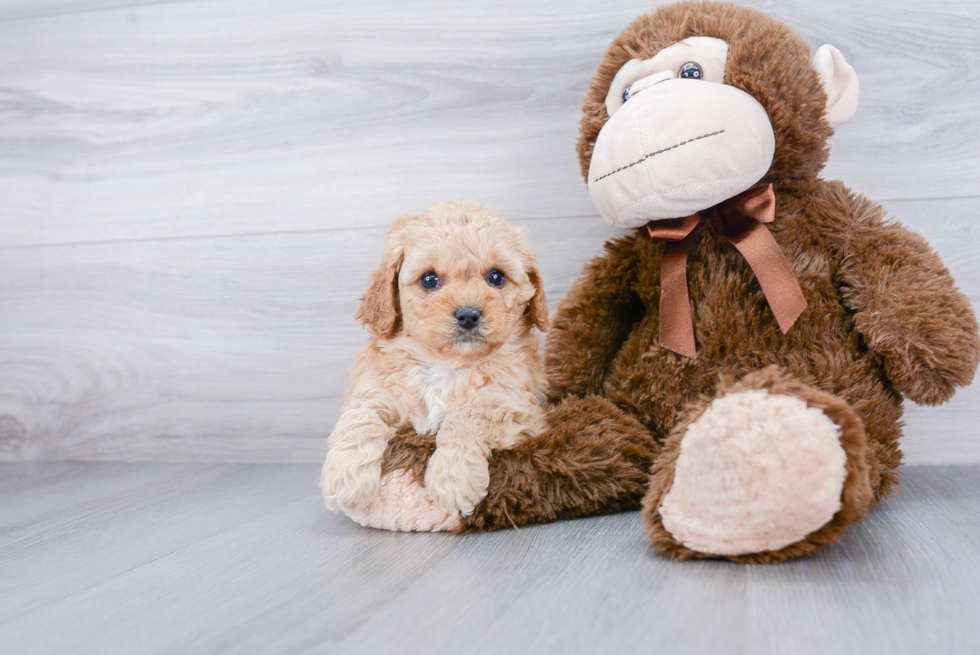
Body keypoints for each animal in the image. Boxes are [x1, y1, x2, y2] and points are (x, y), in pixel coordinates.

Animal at [322, 202, 552, 520]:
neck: (445, 364)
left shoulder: (518, 407)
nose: (468, 315)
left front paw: (453, 479)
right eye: (430, 280)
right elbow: (359, 417)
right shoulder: (375, 389)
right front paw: (345, 479)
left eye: (496, 277)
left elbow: (466, 416)